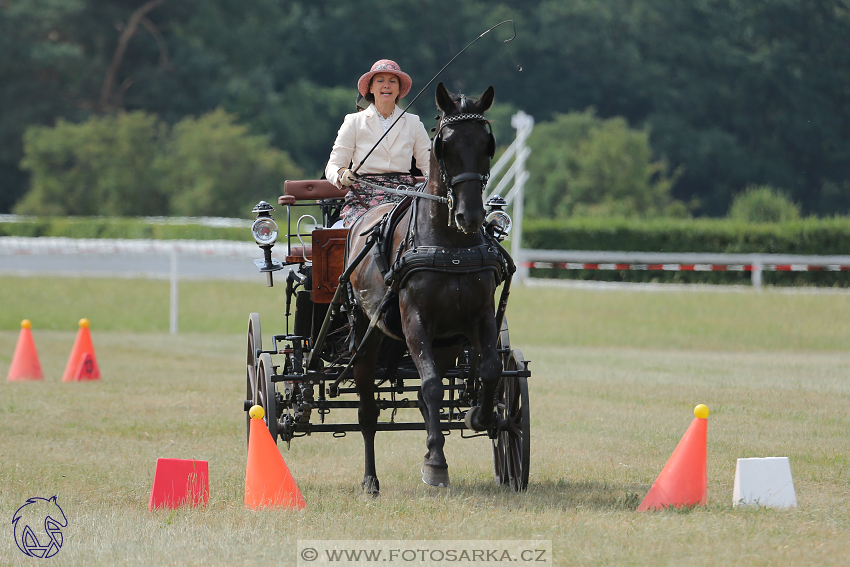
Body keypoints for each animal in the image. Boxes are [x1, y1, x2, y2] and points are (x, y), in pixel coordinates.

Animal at [344, 82, 504, 494]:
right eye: (443, 145)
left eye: (488, 144)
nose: (470, 216)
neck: (450, 245)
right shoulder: (414, 320)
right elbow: (431, 385)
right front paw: (435, 464)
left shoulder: (479, 317)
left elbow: (490, 369)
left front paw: (478, 416)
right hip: (367, 336)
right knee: (368, 412)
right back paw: (370, 480)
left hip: (446, 343)